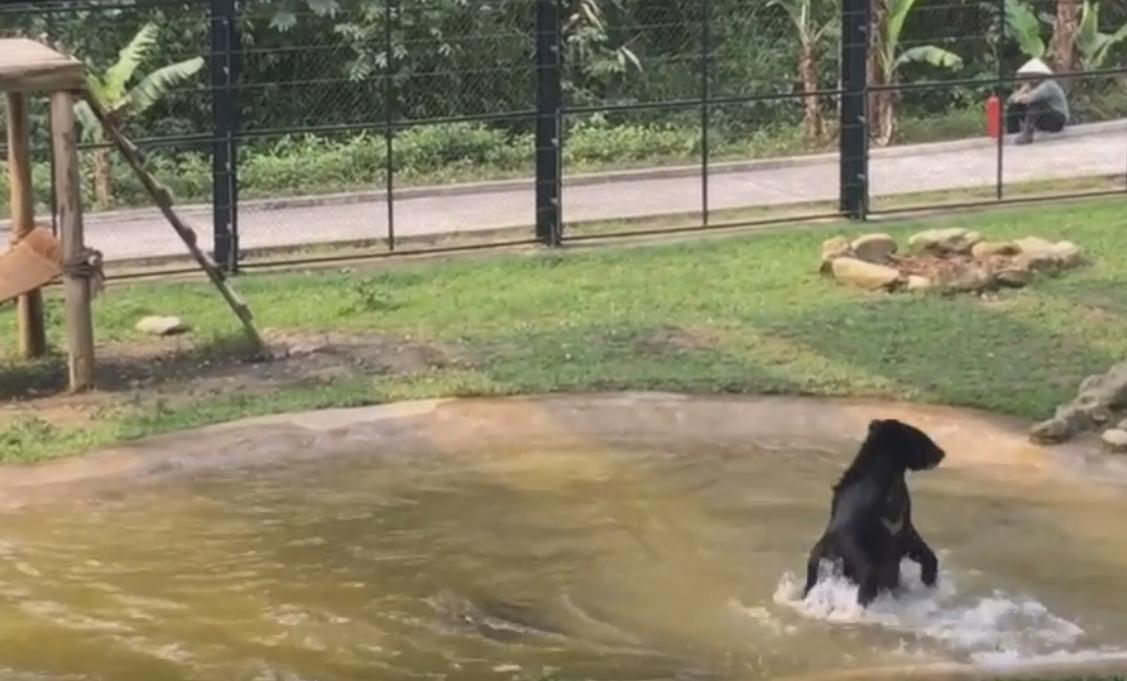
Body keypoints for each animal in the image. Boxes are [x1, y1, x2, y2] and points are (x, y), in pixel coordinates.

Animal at [797, 419, 946, 604]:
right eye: (922, 436)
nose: (942, 452)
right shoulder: (880, 522)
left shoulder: (899, 521)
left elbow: (915, 543)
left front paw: (929, 577)